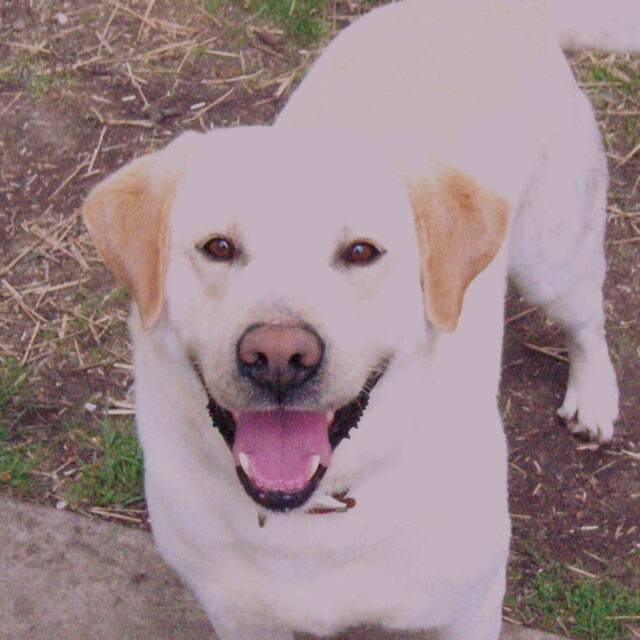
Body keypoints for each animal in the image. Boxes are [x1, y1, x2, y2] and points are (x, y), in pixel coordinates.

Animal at [82, 1, 636, 640]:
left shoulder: (467, 612)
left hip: (555, 259)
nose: (278, 357)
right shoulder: (240, 618)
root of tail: (493, 9)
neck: (316, 512)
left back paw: (593, 397)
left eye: (361, 252)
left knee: (587, 321)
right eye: (218, 247)